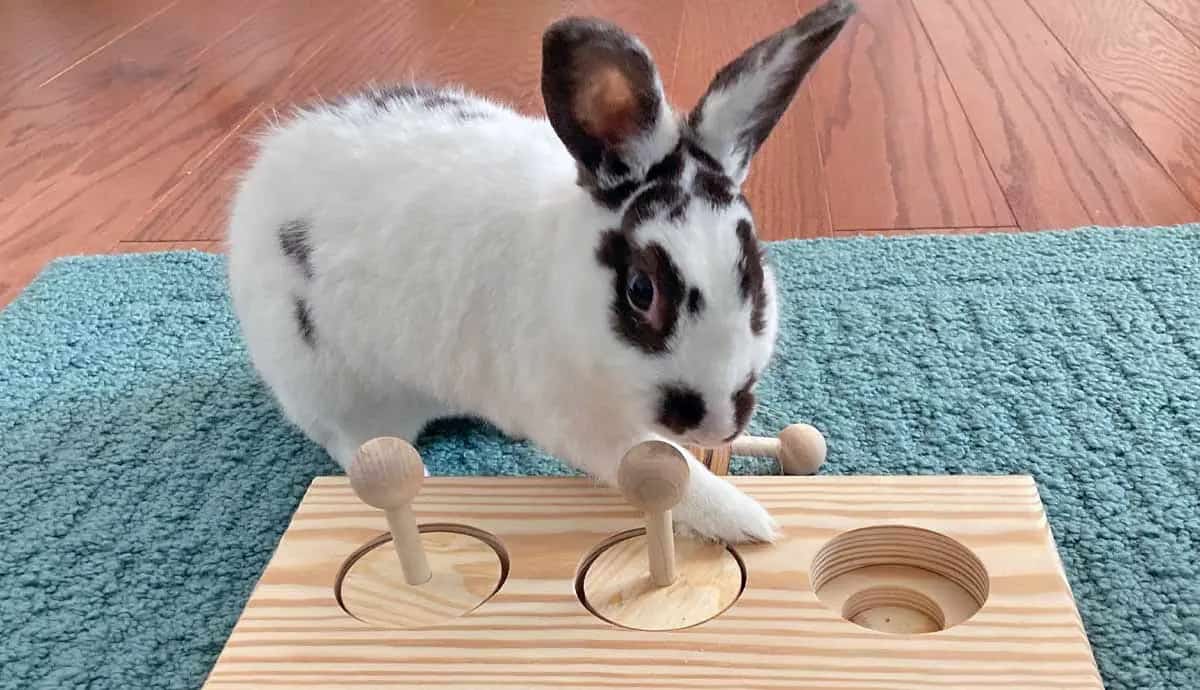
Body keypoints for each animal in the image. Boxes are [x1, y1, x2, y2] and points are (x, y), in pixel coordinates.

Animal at [225, 0, 855, 544]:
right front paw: (747, 520)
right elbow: (662, 469)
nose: (717, 424)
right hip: (327, 387)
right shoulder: (581, 419)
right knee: (353, 443)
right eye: (641, 290)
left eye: (753, 271)